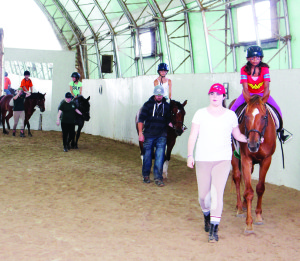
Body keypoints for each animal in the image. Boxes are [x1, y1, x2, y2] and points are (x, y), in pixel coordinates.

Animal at [230, 92, 276, 232]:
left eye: (264, 117)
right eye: (246, 116)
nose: (252, 145)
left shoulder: (267, 160)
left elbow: (260, 188)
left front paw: (259, 216)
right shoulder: (246, 158)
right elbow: (249, 191)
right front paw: (249, 223)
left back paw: (244, 205)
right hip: (234, 155)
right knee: (237, 177)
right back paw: (240, 207)